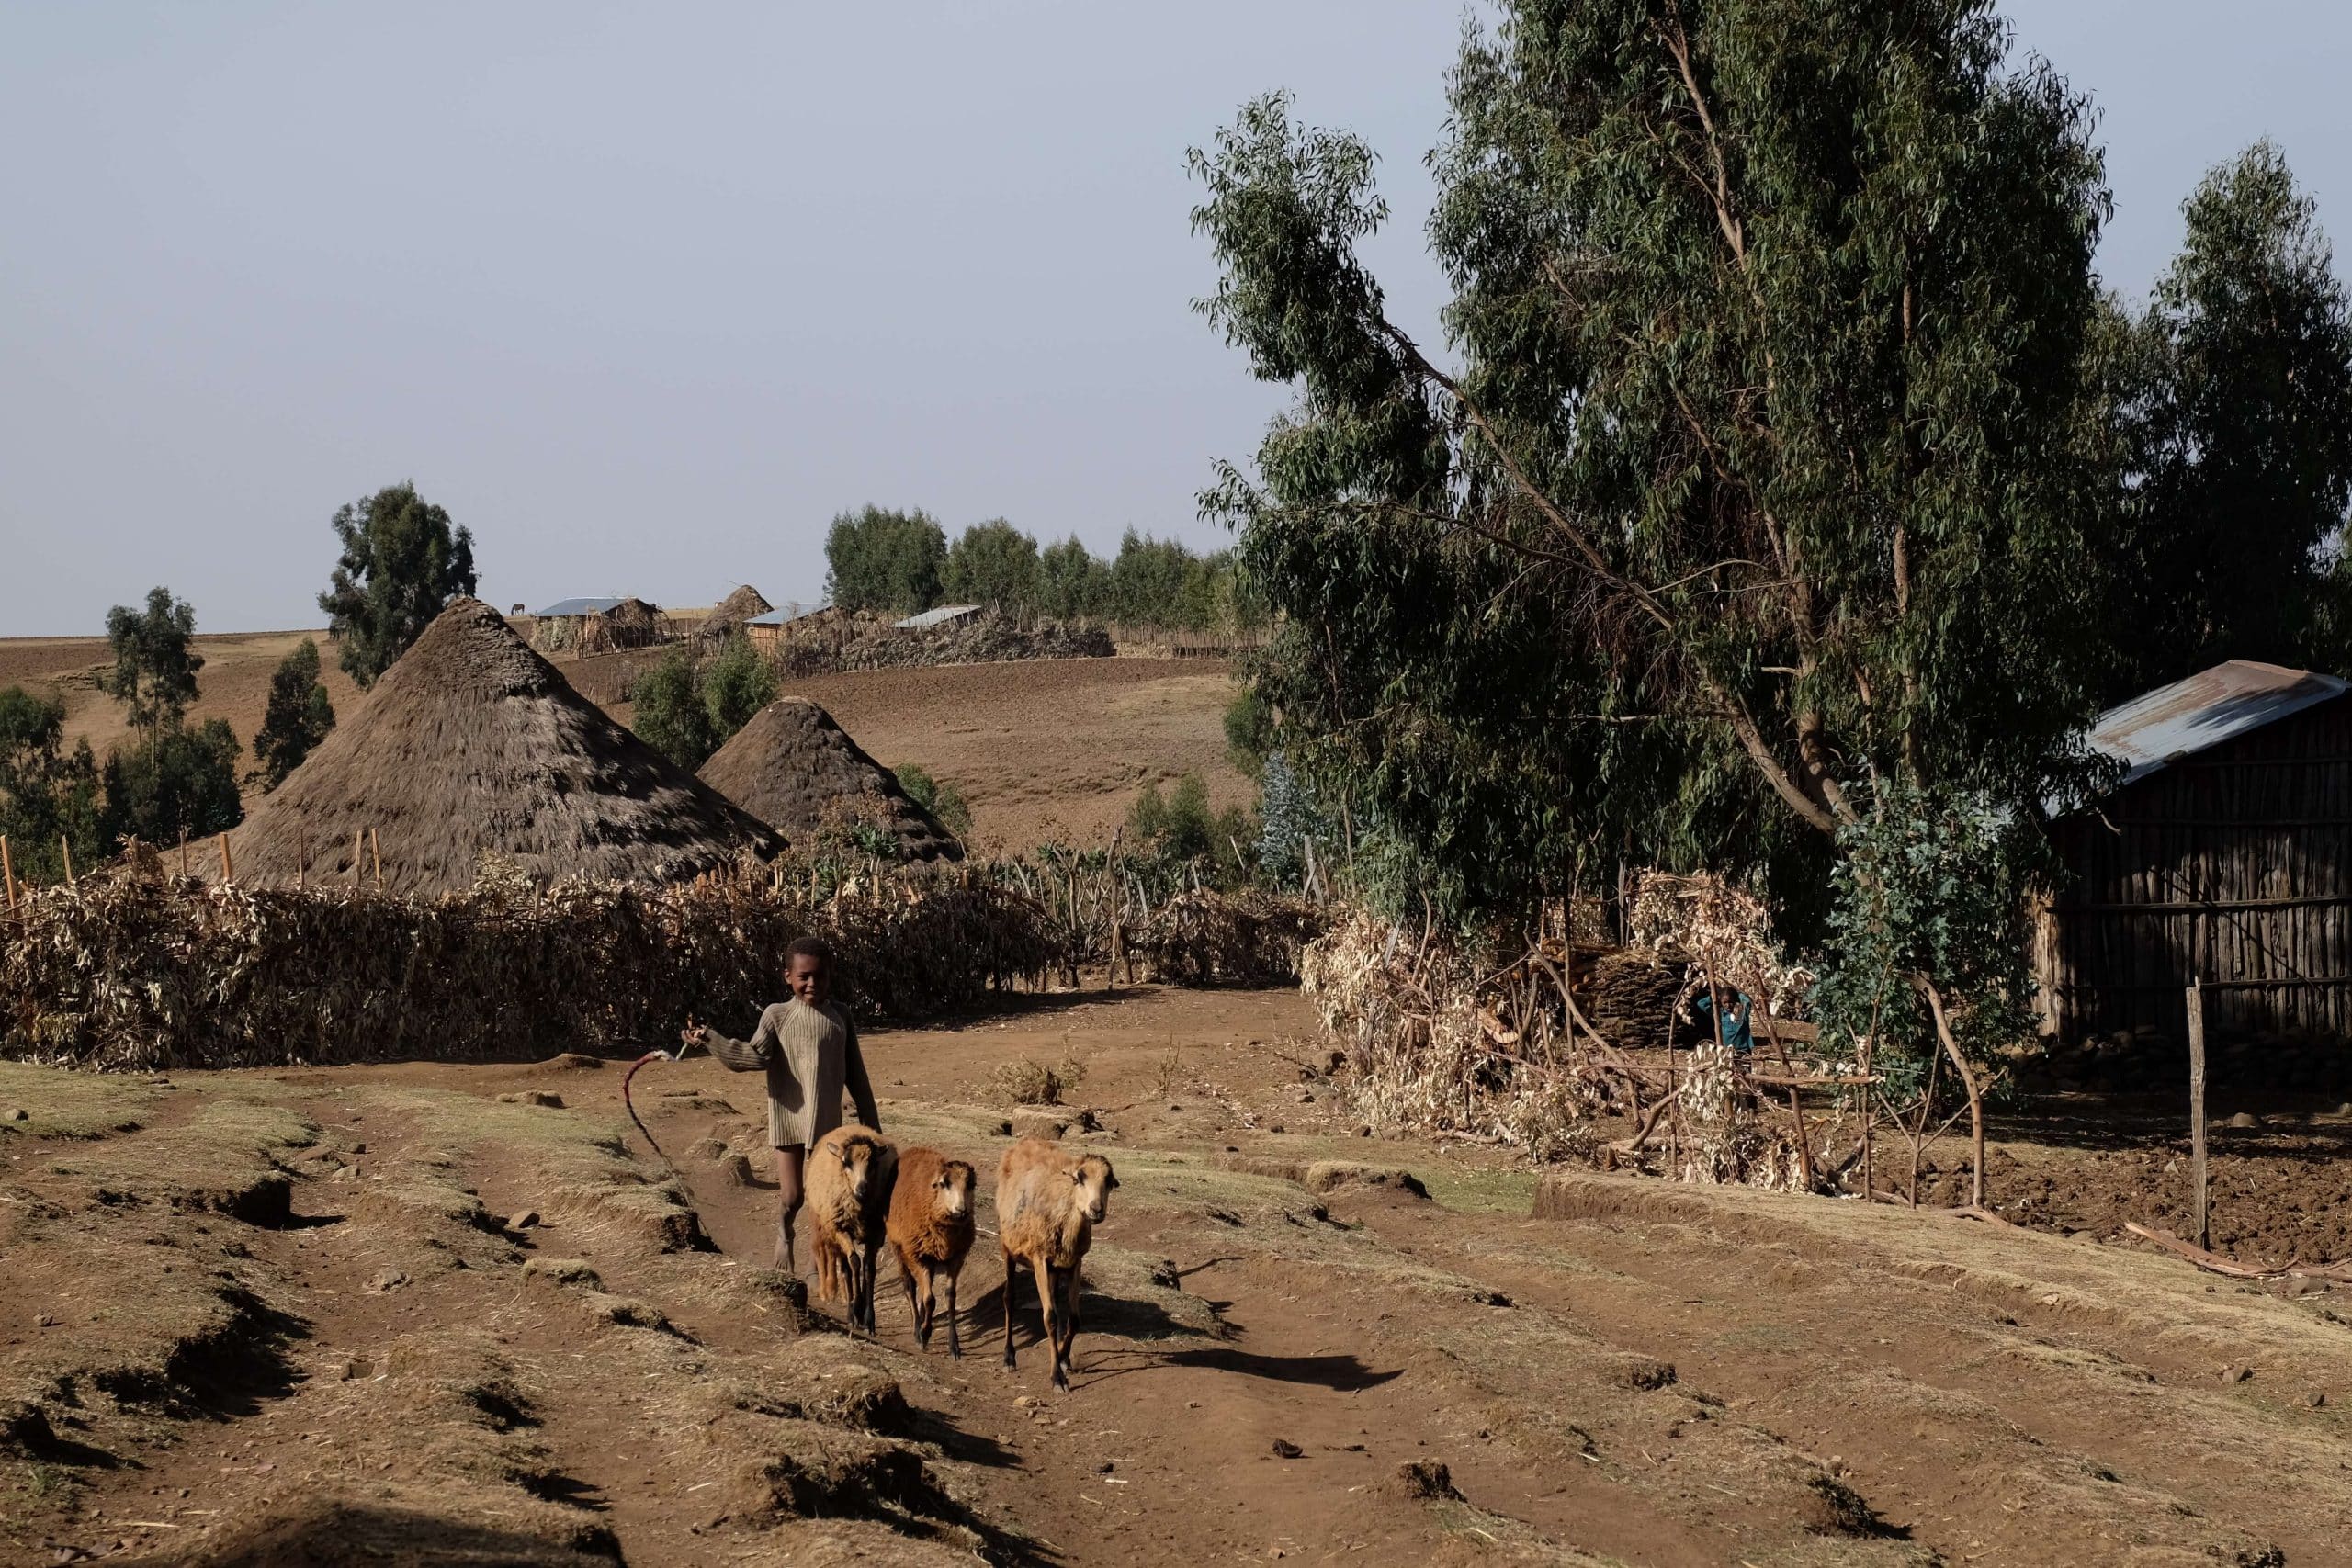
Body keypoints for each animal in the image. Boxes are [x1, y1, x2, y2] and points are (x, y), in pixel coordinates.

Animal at [799, 1128, 888, 1335]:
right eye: (846, 1163)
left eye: (873, 1163)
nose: (862, 1188)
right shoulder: (841, 1229)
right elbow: (854, 1263)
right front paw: (856, 1311)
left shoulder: (876, 1233)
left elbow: (869, 1269)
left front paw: (869, 1318)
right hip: (834, 1232)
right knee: (846, 1267)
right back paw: (850, 1310)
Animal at [888, 1146, 983, 1354]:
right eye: (943, 1184)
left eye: (971, 1184)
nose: (961, 1210)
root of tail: (914, 1149)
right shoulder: (917, 1256)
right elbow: (930, 1299)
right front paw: (924, 1334)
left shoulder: (957, 1257)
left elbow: (950, 1297)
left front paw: (954, 1345)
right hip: (899, 1248)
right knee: (910, 1287)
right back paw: (917, 1327)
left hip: (930, 1257)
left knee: (926, 1286)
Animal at [983, 1133, 1110, 1392]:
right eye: (1079, 1178)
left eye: (1110, 1181)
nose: (1096, 1209)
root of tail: (1024, 1141)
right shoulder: (1039, 1259)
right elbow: (1049, 1318)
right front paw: (1057, 1378)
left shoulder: (1075, 1262)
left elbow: (1074, 1319)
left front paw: (1063, 1358)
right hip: (1008, 1248)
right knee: (1009, 1298)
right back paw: (1009, 1357)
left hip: (1055, 1267)